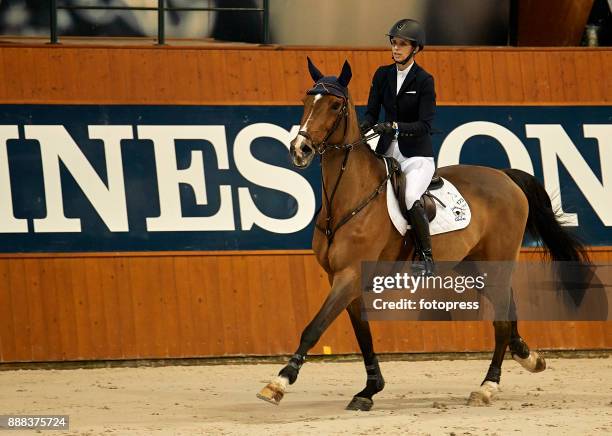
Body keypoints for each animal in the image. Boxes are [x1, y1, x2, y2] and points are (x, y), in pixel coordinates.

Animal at [256, 58, 584, 412]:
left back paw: (487, 387)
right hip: (473, 265)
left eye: (334, 105)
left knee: (500, 321)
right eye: (306, 101)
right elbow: (363, 334)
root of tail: (504, 175)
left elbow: (314, 328)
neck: (348, 197)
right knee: (507, 311)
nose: (299, 149)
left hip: (496, 261)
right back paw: (527, 357)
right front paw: (369, 389)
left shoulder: (349, 275)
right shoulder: (341, 279)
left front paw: (279, 382)